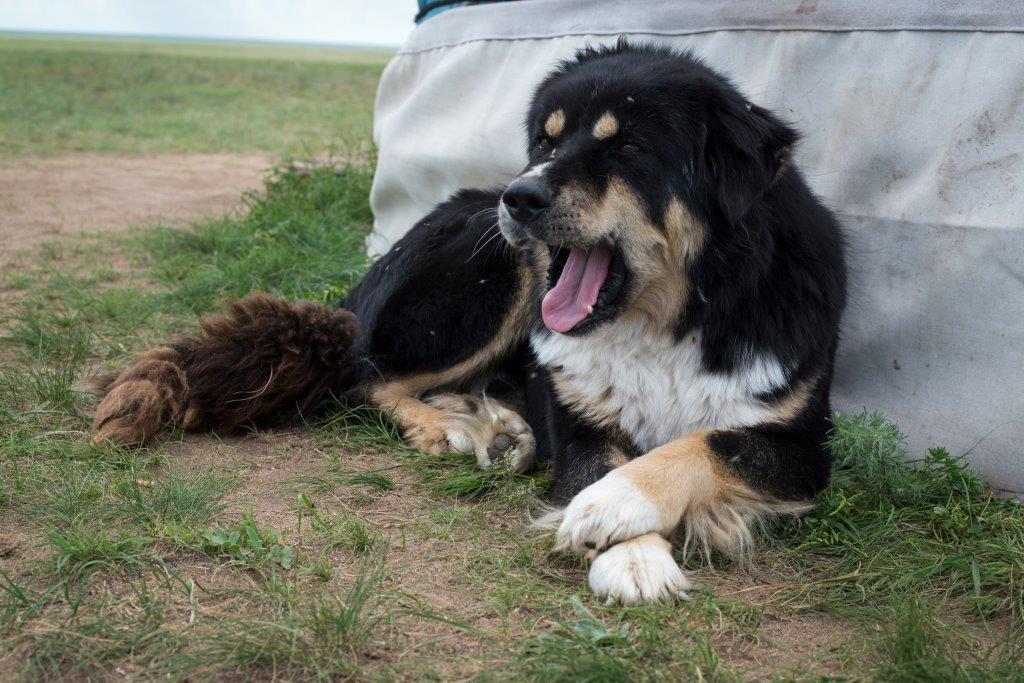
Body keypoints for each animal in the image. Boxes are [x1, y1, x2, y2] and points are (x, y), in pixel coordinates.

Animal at [94, 42, 847, 606]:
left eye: (628, 147)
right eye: (546, 139)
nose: (521, 195)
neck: (669, 320)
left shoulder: (801, 442)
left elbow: (701, 445)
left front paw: (614, 510)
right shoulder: (578, 421)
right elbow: (606, 463)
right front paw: (625, 547)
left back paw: (500, 425)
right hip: (490, 270)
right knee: (366, 376)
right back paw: (448, 426)